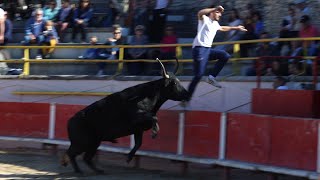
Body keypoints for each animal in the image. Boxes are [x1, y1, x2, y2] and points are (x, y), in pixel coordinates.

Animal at [61, 58, 189, 173]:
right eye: (174, 83)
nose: (187, 95)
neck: (149, 96)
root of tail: (70, 121)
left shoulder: (138, 129)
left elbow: (138, 143)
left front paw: (129, 157)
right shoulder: (137, 118)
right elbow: (154, 118)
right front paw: (154, 133)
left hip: (94, 142)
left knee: (85, 157)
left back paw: (96, 170)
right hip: (83, 142)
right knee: (71, 153)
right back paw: (77, 169)